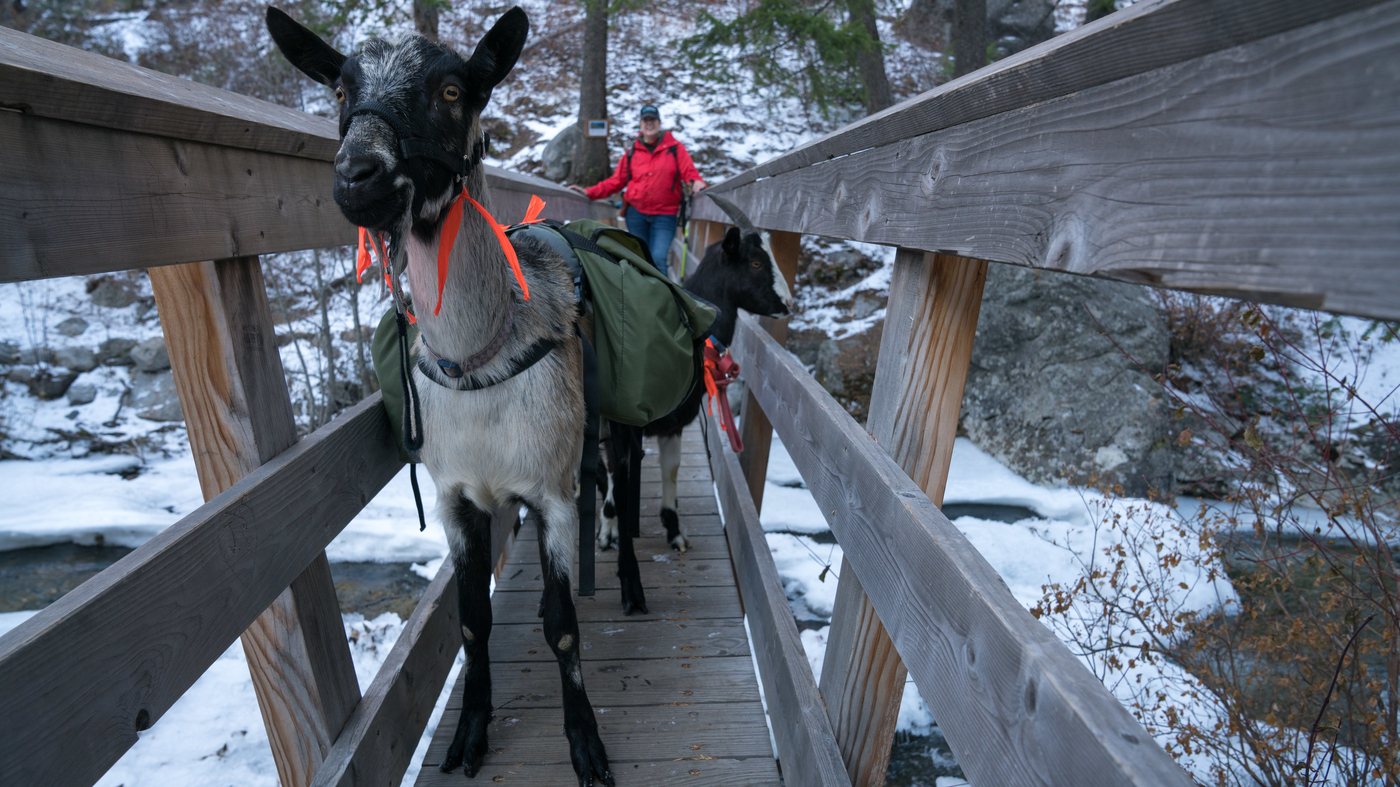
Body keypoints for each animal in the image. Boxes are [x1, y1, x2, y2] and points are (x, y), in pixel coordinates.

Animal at [266, 7, 622, 784]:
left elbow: (562, 629)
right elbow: (470, 621)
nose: (358, 176)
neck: (479, 357)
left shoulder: (550, 493)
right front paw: (469, 732)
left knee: (615, 478)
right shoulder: (458, 498)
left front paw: (586, 744)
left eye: (454, 88)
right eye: (341, 88)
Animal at [597, 194, 793, 553]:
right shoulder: (618, 422)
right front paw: (608, 531)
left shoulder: (675, 423)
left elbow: (671, 470)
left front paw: (674, 531)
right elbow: (617, 471)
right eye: (756, 264)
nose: (788, 304)